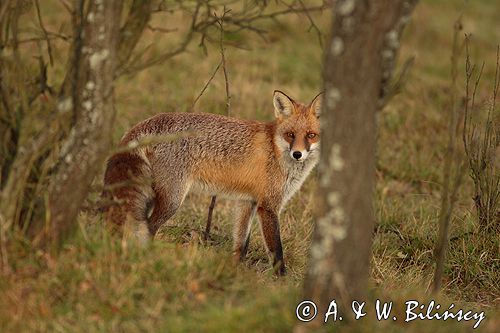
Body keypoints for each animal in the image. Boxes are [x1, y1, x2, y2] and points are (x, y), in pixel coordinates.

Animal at [103, 89, 322, 274]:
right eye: (290, 135)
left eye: (311, 135)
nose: (297, 154)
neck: (276, 149)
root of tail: (150, 121)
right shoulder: (268, 206)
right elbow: (277, 251)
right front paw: (280, 283)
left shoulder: (247, 202)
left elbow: (241, 245)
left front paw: (234, 273)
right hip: (173, 200)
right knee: (148, 228)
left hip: (150, 196)